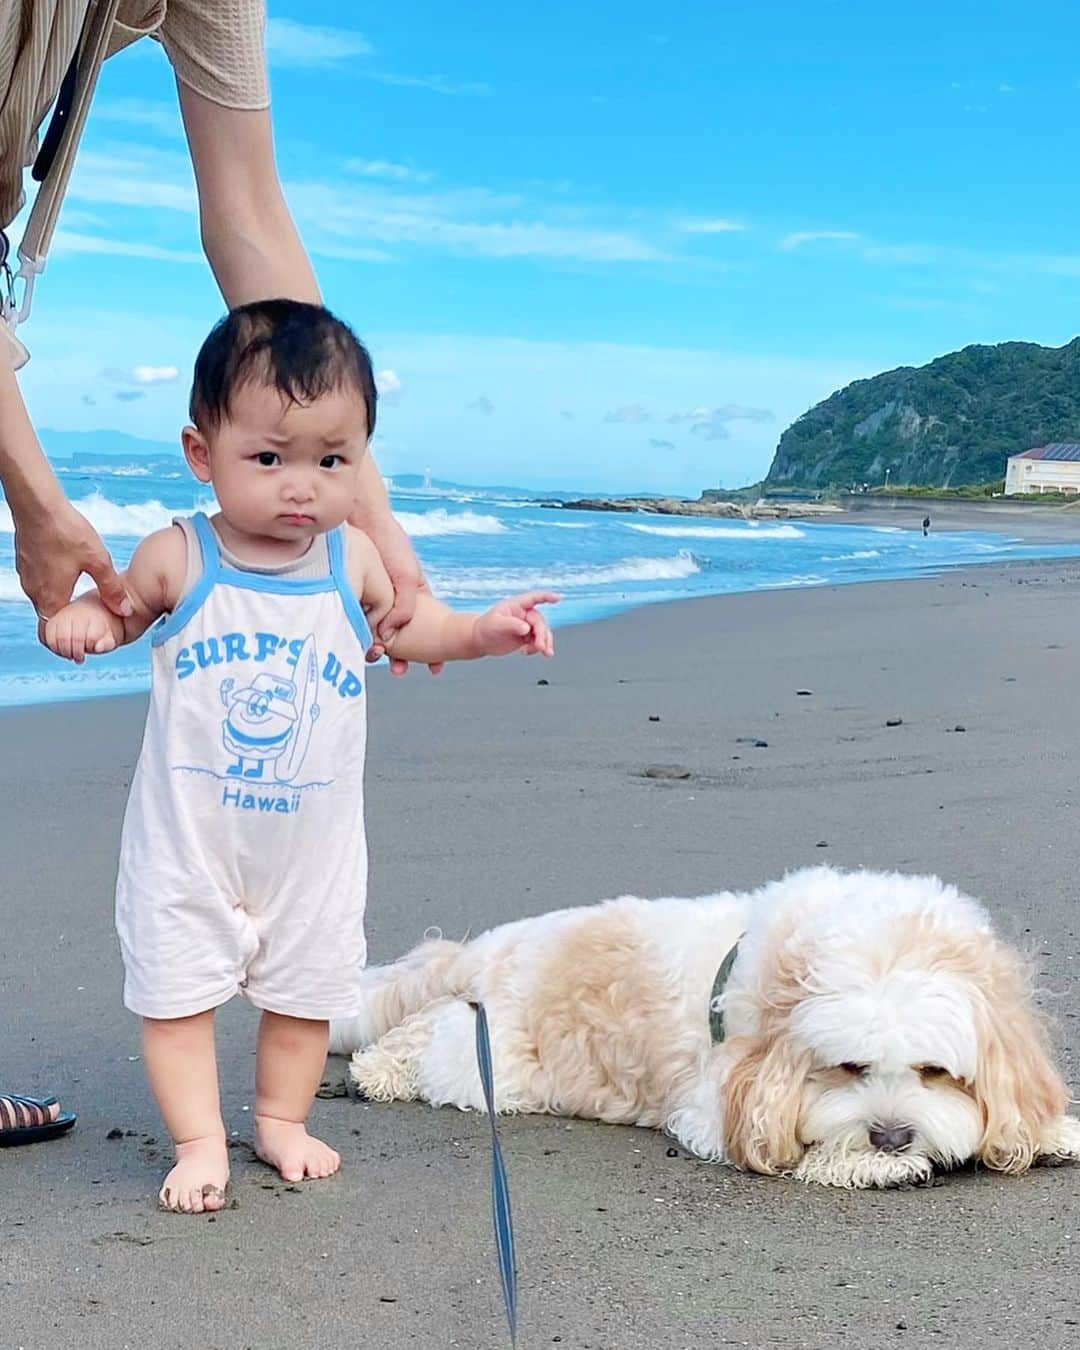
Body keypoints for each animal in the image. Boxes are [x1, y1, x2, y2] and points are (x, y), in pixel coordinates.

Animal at [329, 869, 1080, 1188]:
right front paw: (862, 1162)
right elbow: (784, 1143)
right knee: (427, 1039)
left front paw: (1052, 1131)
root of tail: (488, 948)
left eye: (934, 1072)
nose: (891, 1136)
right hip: (498, 1059)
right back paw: (378, 1070)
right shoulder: (719, 1103)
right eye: (846, 1068)